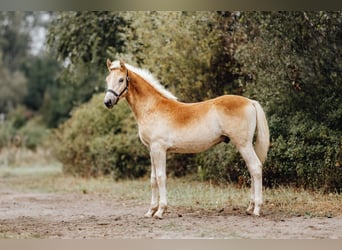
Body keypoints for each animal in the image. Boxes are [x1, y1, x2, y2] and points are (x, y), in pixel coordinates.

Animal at [104, 59, 270, 218]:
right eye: (107, 79)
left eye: (121, 79)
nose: (107, 102)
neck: (152, 108)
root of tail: (250, 102)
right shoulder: (151, 150)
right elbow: (153, 180)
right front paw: (150, 211)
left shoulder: (159, 149)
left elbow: (161, 177)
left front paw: (160, 211)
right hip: (245, 145)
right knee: (252, 170)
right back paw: (249, 207)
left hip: (243, 144)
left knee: (255, 168)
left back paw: (256, 209)